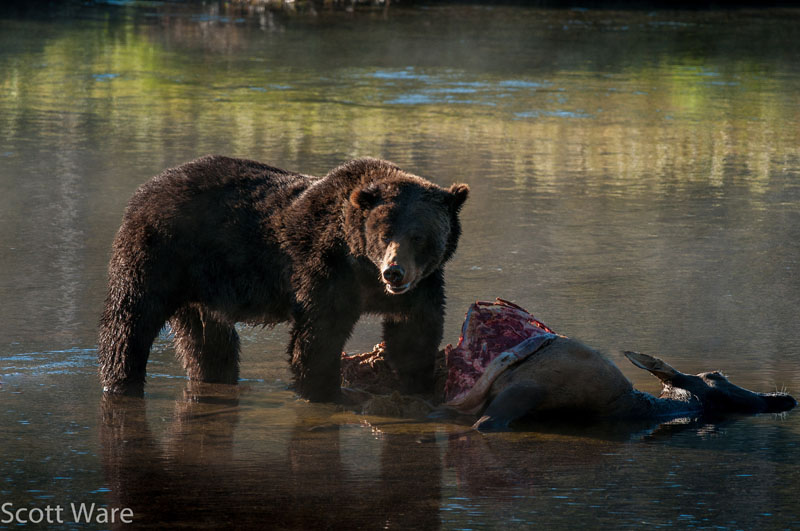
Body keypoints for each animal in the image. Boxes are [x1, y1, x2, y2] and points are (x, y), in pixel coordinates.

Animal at [98, 155, 469, 402]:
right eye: (384, 232)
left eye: (419, 236)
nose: (394, 271)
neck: (363, 267)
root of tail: (147, 188)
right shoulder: (325, 269)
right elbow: (318, 337)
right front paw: (326, 391)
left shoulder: (422, 286)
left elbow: (415, 334)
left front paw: (417, 384)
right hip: (158, 254)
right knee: (130, 320)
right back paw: (120, 380)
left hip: (201, 285)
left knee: (207, 339)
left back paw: (215, 376)